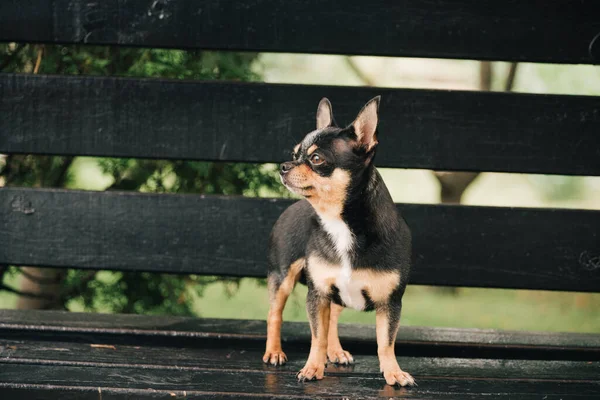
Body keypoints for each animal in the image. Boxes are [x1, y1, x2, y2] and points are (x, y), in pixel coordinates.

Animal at [264, 95, 414, 386]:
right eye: (295, 154)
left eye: (316, 158)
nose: (284, 166)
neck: (338, 222)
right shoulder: (318, 294)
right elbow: (316, 336)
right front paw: (312, 367)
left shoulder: (390, 303)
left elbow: (385, 342)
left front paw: (393, 373)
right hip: (283, 277)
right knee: (275, 313)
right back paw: (274, 352)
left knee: (332, 318)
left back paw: (335, 351)